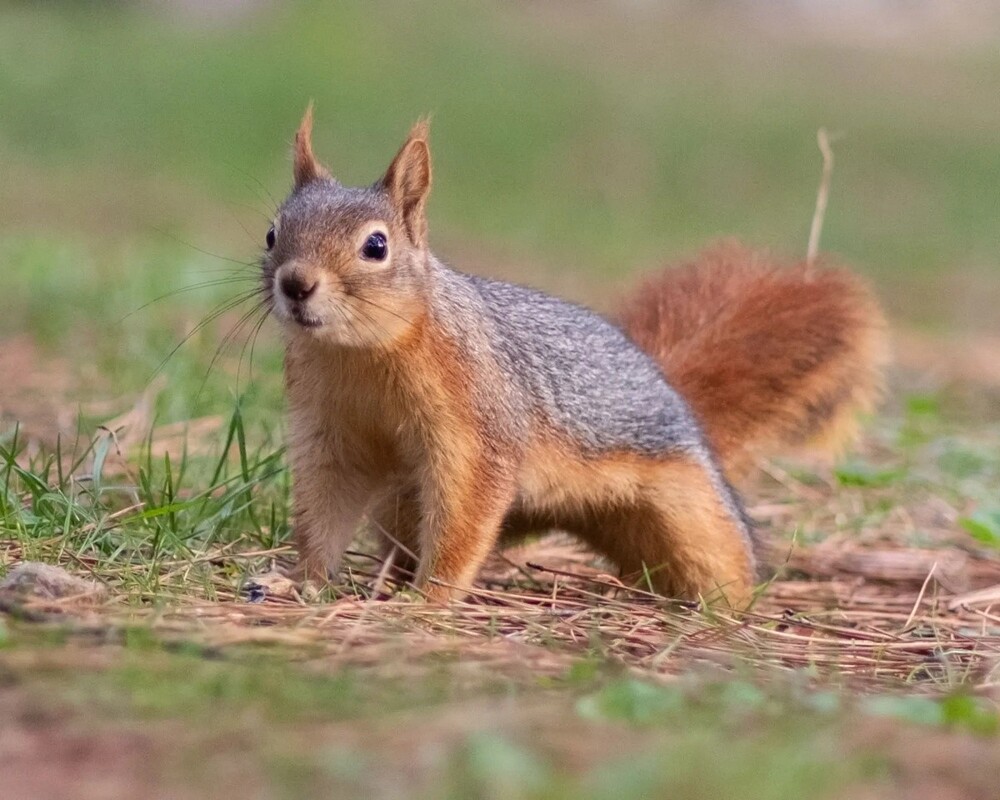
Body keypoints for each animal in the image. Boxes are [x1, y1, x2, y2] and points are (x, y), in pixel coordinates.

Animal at [262, 108, 888, 608]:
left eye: (377, 246)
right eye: (272, 233)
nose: (296, 284)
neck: (361, 354)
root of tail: (669, 388)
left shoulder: (479, 424)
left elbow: (467, 513)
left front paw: (428, 599)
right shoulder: (334, 430)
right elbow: (326, 505)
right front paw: (301, 579)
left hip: (694, 513)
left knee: (721, 562)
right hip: (408, 502)